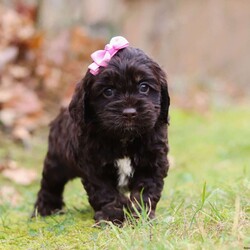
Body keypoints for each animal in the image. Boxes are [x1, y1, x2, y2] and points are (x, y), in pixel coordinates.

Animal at [33, 35, 170, 225]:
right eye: (108, 91)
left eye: (143, 87)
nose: (129, 113)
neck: (124, 138)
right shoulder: (95, 166)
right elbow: (105, 192)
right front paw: (112, 217)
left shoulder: (152, 162)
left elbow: (145, 191)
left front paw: (140, 216)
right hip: (57, 160)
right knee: (50, 183)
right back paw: (45, 209)